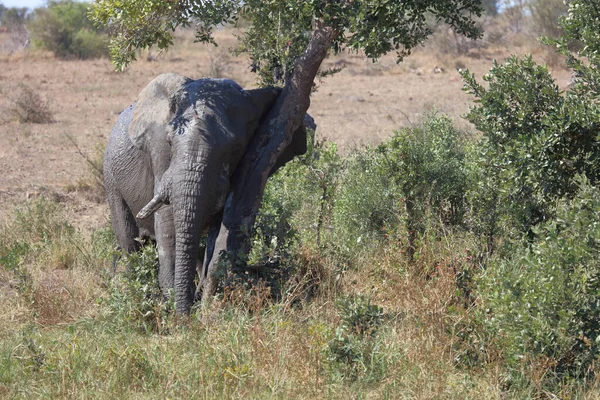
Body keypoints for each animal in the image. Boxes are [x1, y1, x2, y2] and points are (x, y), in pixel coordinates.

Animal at [103, 73, 308, 314]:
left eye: (235, 149)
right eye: (170, 142)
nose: (184, 317)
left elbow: (217, 227)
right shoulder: (158, 150)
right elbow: (167, 218)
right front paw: (173, 298)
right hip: (110, 177)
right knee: (128, 239)